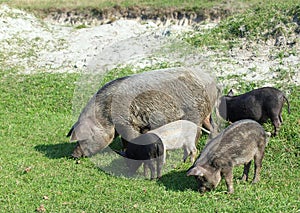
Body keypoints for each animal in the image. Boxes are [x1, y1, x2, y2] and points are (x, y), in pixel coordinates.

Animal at [67, 67, 218, 158]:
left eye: (82, 138)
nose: (73, 155)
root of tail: (212, 82)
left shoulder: (125, 121)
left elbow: (131, 137)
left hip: (194, 112)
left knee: (196, 133)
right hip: (205, 114)